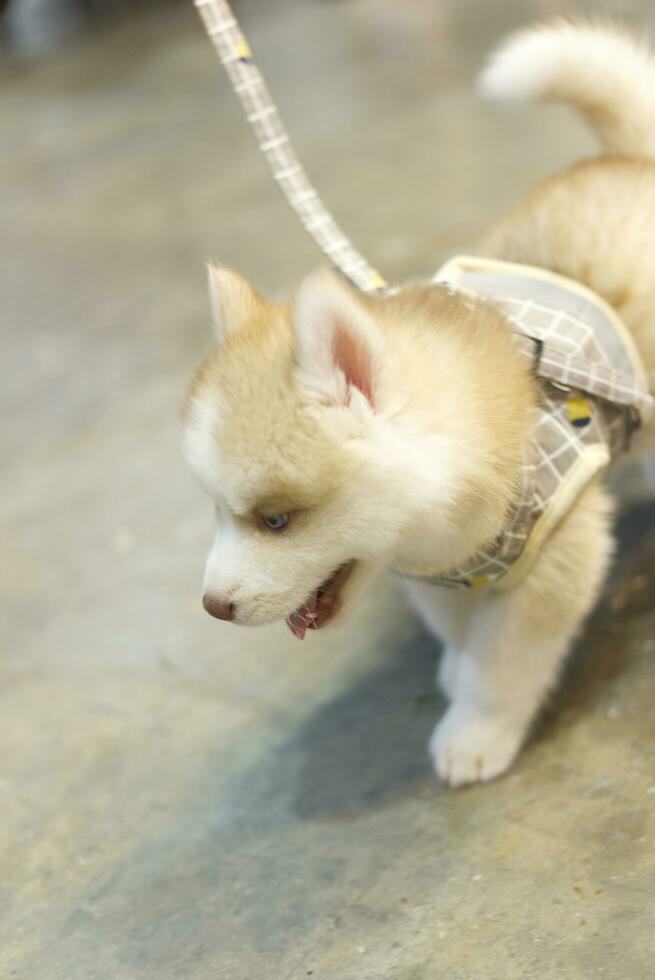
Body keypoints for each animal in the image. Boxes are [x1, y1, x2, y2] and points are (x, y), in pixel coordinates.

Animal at [183, 23, 655, 784]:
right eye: (217, 511)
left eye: (276, 519)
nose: (213, 607)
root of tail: (629, 158)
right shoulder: (439, 576)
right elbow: (464, 640)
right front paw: (459, 678)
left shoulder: (556, 559)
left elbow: (504, 663)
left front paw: (478, 730)